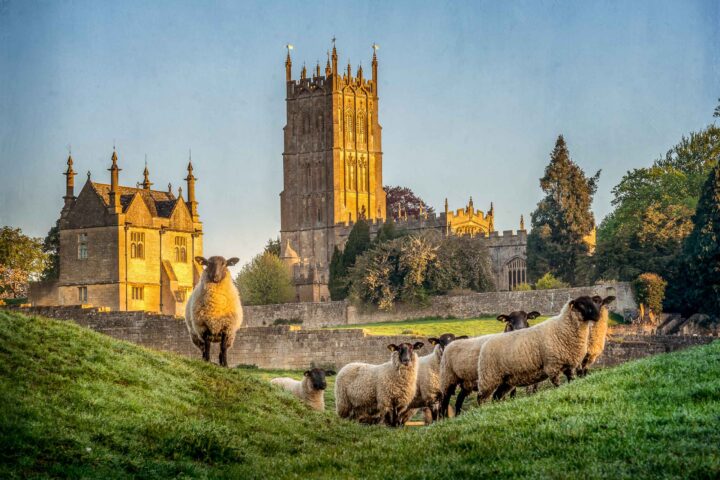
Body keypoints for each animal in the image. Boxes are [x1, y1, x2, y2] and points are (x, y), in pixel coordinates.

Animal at [476, 294, 612, 404]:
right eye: (581, 304)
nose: (597, 316)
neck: (563, 328)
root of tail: (486, 343)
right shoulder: (552, 367)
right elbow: (557, 386)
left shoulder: (569, 366)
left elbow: (571, 381)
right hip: (489, 378)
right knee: (481, 398)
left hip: (506, 380)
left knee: (496, 396)